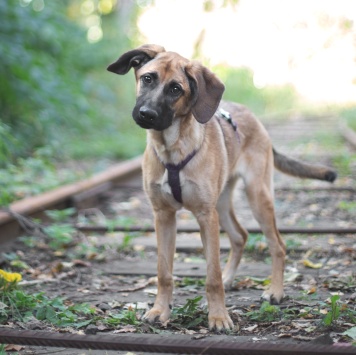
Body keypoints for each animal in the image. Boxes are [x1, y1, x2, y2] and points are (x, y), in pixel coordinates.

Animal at [107, 43, 338, 330]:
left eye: (176, 89)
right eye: (148, 78)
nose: (146, 114)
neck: (171, 148)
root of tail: (254, 117)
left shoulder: (205, 216)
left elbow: (212, 275)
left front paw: (218, 316)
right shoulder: (163, 216)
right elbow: (164, 272)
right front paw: (160, 310)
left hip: (257, 197)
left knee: (277, 246)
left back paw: (275, 291)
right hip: (222, 203)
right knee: (240, 236)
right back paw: (231, 277)